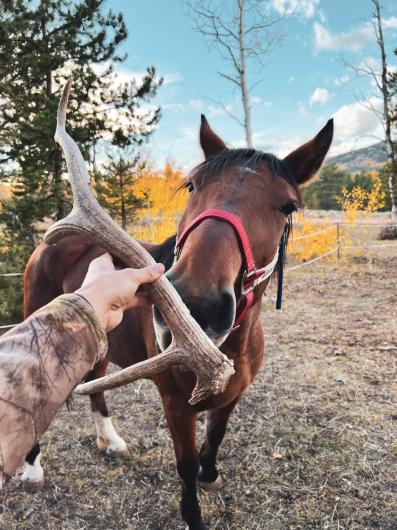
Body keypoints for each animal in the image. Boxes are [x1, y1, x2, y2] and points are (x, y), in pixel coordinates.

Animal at [21, 116, 332, 528]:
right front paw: (194, 515)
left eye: (288, 206)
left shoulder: (233, 395)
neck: (231, 349)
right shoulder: (175, 404)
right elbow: (184, 465)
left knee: (96, 386)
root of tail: (48, 244)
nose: (197, 303)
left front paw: (210, 475)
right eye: (192, 185)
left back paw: (110, 441)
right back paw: (32, 469)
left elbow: (216, 437)